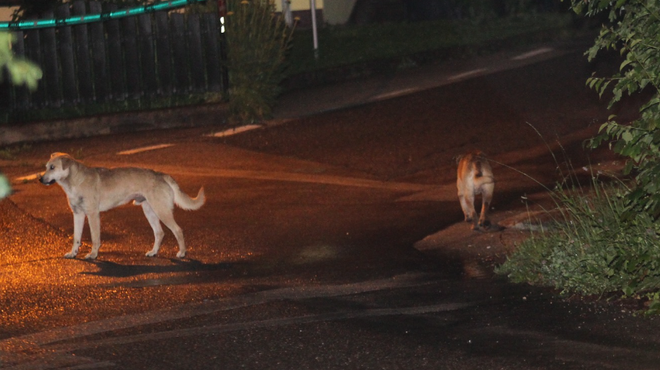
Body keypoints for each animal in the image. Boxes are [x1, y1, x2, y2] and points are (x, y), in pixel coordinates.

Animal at [40, 152, 205, 258]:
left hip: (162, 211)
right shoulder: (78, 214)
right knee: (160, 233)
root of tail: (161, 174)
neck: (75, 181)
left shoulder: (92, 214)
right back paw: (153, 252)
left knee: (178, 230)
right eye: (46, 166)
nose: (40, 179)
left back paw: (182, 253)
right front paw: (73, 253)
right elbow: (76, 237)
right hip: (149, 211)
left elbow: (94, 237)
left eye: (52, 168)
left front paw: (93, 254)